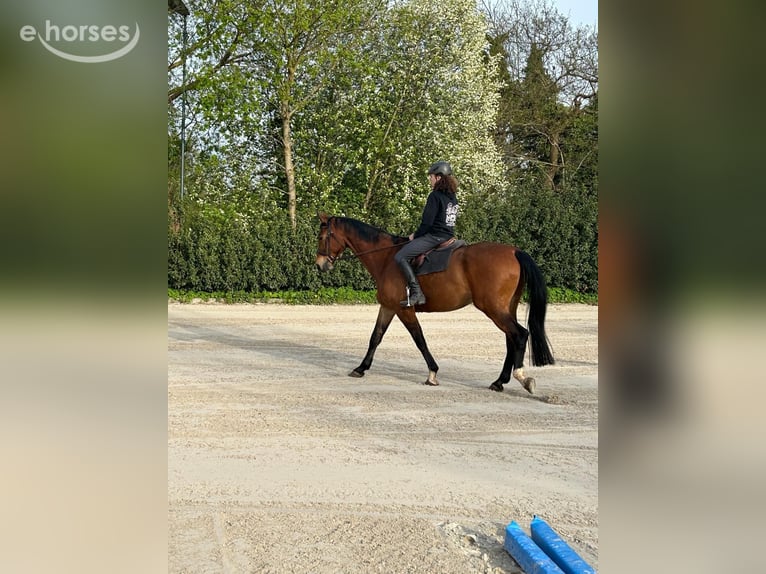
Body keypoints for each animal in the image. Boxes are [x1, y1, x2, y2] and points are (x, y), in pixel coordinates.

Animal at [314, 213, 554, 392]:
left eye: (321, 236)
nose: (320, 265)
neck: (386, 258)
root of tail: (515, 251)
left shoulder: (404, 310)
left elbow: (419, 339)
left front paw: (432, 373)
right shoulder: (388, 307)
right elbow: (376, 337)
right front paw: (361, 368)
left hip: (493, 309)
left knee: (519, 335)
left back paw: (521, 377)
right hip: (504, 308)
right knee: (511, 338)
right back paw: (499, 381)